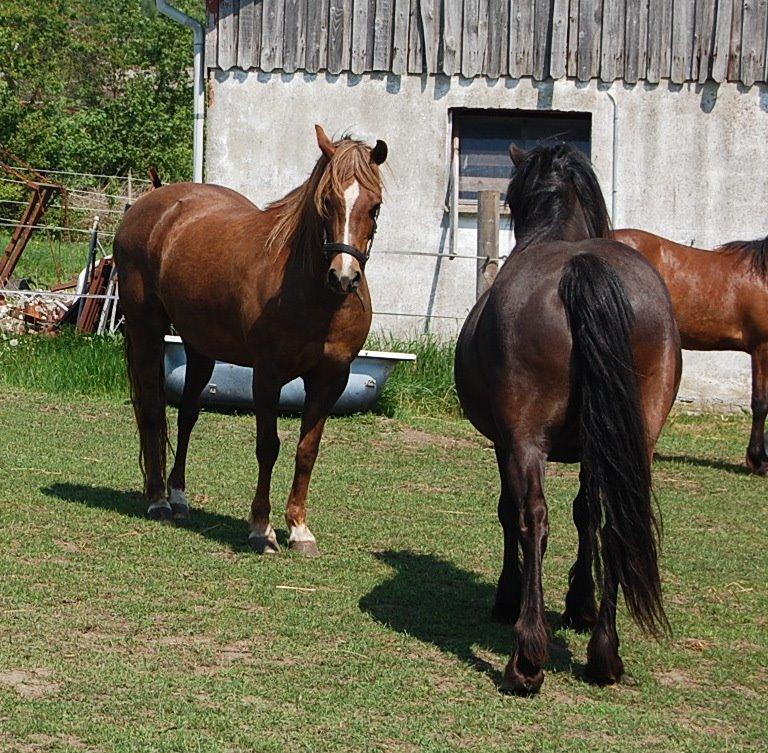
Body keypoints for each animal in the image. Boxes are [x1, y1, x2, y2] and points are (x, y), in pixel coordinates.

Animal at [112, 126, 390, 556]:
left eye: (374, 206)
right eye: (327, 201)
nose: (343, 277)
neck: (313, 294)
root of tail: (148, 205)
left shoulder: (331, 379)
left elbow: (306, 450)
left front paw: (299, 528)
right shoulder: (267, 375)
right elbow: (268, 446)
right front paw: (262, 527)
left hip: (200, 348)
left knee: (187, 415)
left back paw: (179, 497)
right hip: (147, 330)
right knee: (153, 411)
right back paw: (158, 499)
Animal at [452, 144, 680, 696]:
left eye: (512, 199)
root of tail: (581, 266)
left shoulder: (505, 442)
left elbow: (509, 512)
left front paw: (508, 597)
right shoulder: (598, 449)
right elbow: (588, 513)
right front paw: (581, 604)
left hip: (526, 440)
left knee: (532, 517)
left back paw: (527, 658)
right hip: (634, 440)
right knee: (617, 522)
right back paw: (605, 654)